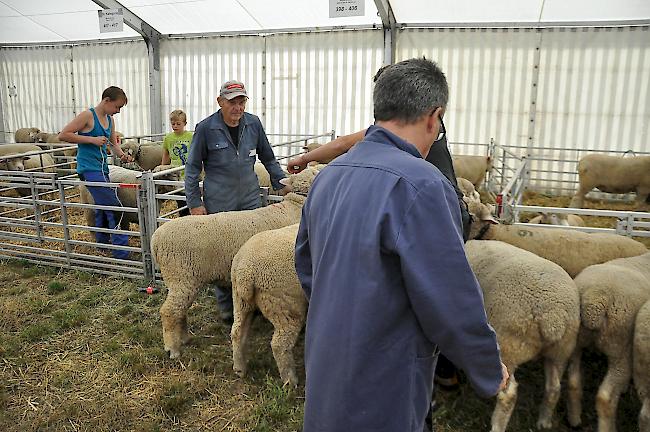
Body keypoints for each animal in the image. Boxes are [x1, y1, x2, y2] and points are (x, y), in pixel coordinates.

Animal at [153, 167, 320, 360]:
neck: (296, 205)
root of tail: (155, 239)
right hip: (182, 277)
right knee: (169, 312)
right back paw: (172, 349)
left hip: (180, 281)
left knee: (180, 310)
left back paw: (184, 338)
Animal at [232, 223, 306, 384]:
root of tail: (246, 271)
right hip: (285, 306)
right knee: (279, 345)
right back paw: (290, 380)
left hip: (242, 302)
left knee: (237, 332)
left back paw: (240, 369)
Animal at [464, 240, 580, 432]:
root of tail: (552, 317)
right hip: (560, 351)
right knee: (554, 388)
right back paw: (544, 422)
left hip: (507, 347)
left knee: (508, 395)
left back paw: (497, 426)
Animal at [560, 251, 648, 432]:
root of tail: (594, 300)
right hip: (621, 349)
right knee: (604, 397)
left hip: (576, 343)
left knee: (573, 381)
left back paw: (574, 420)